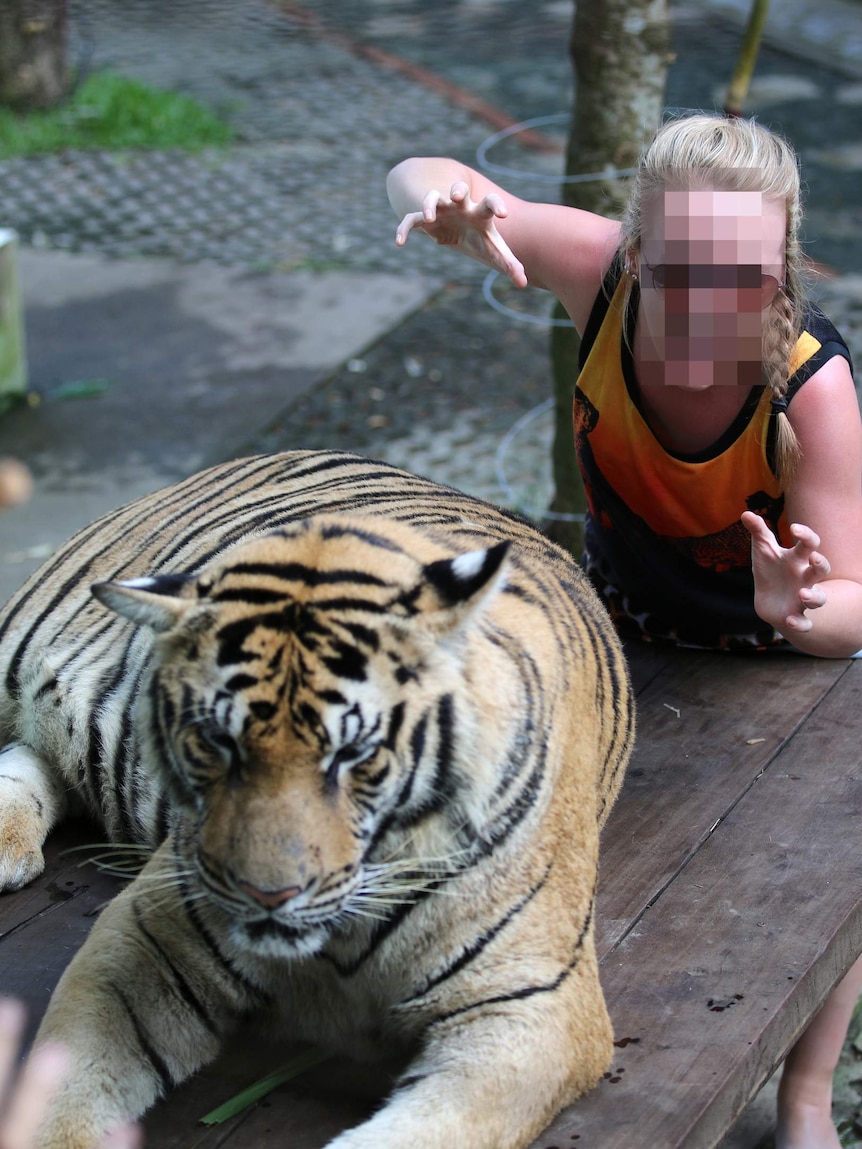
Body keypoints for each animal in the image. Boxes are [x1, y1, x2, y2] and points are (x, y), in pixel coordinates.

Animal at [0, 448, 634, 1149]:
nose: (267, 895)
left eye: (353, 753)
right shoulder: (143, 942)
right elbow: (66, 1092)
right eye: (218, 741)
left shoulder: (529, 1007)